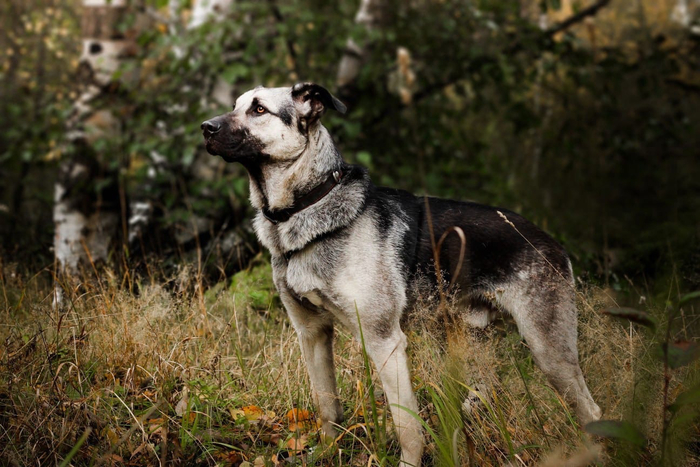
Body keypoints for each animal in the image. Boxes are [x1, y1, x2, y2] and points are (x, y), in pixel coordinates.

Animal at [202, 84, 600, 467]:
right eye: (236, 105)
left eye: (258, 109)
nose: (205, 128)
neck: (309, 205)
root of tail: (548, 240)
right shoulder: (312, 334)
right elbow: (327, 408)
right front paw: (327, 454)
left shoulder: (385, 343)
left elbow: (407, 426)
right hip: (466, 346)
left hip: (548, 352)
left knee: (591, 412)